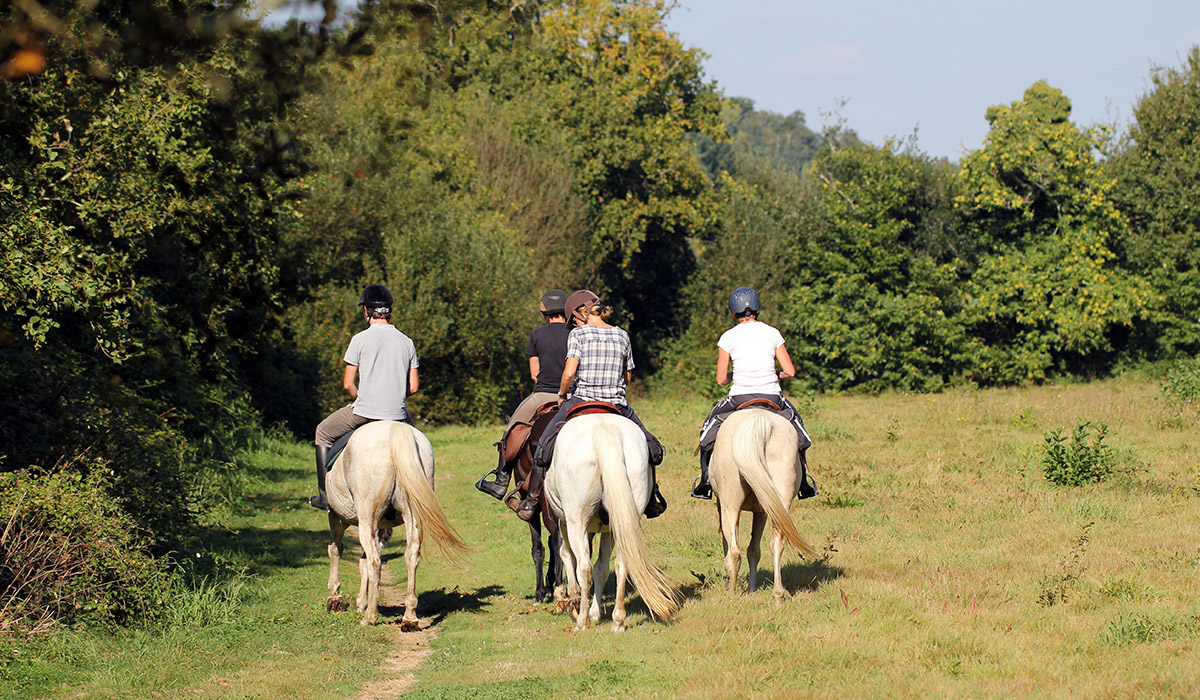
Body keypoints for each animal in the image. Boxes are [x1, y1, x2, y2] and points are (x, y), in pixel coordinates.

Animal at [324, 422, 468, 629]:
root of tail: (395, 429)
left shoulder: (337, 517)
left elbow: (336, 551)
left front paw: (336, 598)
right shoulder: (381, 528)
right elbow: (362, 561)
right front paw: (361, 602)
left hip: (366, 517)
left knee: (374, 561)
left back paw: (370, 617)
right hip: (411, 515)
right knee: (411, 556)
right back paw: (409, 617)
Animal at [544, 413, 676, 633]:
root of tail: (604, 430)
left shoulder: (563, 521)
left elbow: (566, 554)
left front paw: (574, 598)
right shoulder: (610, 530)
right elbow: (602, 567)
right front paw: (595, 612)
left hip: (576, 520)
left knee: (584, 567)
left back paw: (582, 621)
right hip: (623, 518)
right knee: (622, 564)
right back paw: (618, 620)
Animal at [710, 410, 816, 602]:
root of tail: (759, 420)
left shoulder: (723, 505)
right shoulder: (762, 511)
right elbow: (754, 550)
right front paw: (752, 588)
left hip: (730, 504)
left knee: (734, 551)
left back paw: (732, 594)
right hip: (780, 502)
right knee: (777, 544)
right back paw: (778, 595)